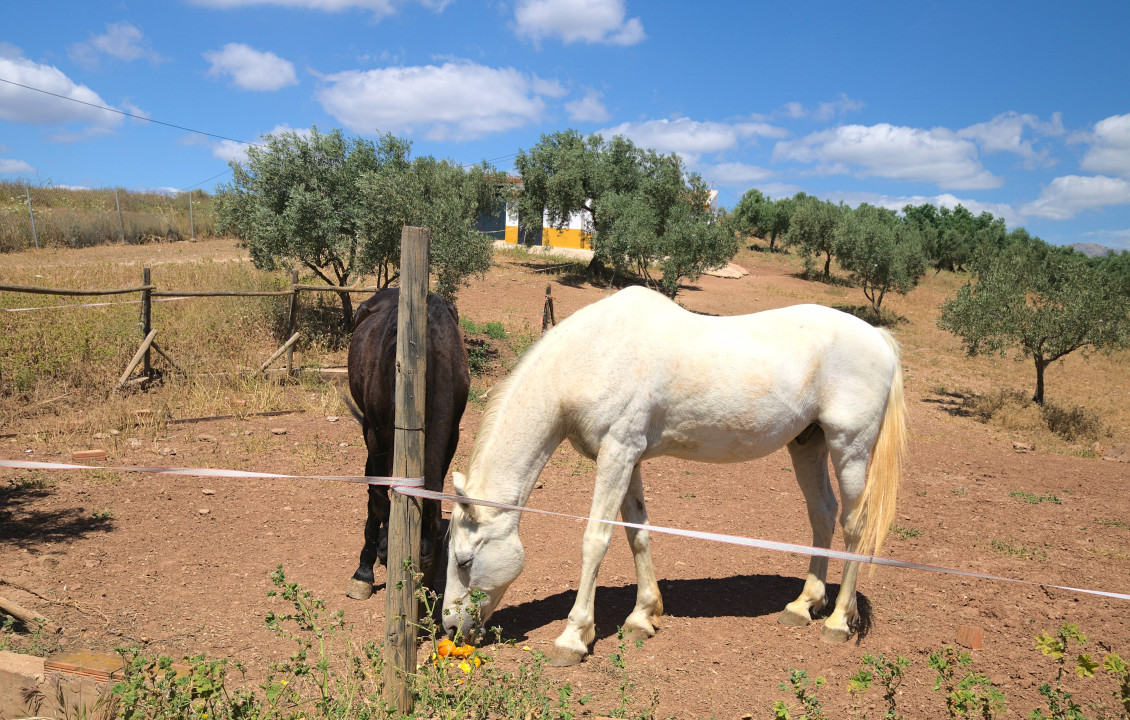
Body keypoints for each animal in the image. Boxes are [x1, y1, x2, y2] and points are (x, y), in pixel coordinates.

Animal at [343, 289, 467, 596]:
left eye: (430, 562)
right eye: (390, 560)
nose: (424, 601)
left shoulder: (452, 435)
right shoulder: (376, 434)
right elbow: (377, 496)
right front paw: (364, 571)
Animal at [440, 284, 908, 664]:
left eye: (465, 560)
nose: (449, 628)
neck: (593, 355)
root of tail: (879, 338)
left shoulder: (616, 454)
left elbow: (596, 540)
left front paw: (574, 637)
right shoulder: (627, 458)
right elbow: (637, 531)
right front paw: (642, 616)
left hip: (850, 448)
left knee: (854, 525)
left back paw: (837, 621)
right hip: (808, 445)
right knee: (822, 514)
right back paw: (803, 605)